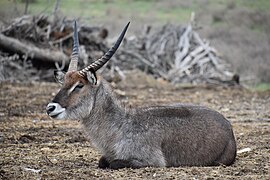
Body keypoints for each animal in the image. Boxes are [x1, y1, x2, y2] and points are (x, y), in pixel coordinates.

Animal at [46, 21, 236, 169]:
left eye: (79, 85)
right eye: (64, 83)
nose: (50, 108)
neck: (121, 125)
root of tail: (228, 126)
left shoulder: (151, 161)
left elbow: (114, 163)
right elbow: (103, 161)